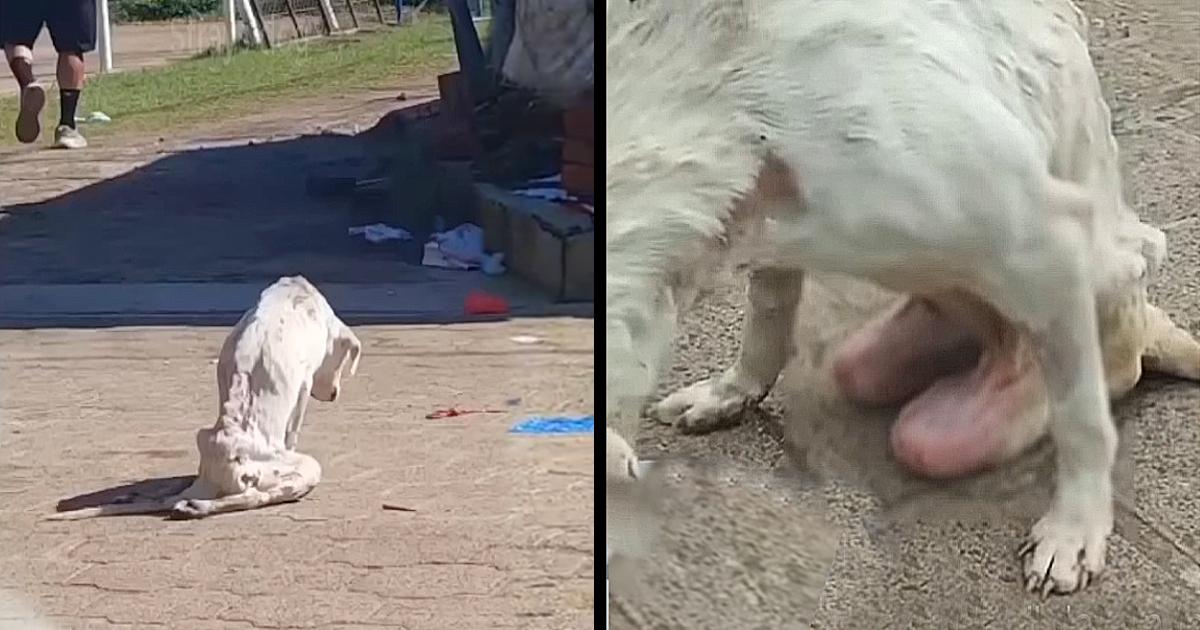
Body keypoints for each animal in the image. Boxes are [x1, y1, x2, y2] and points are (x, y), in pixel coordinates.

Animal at [609, 0, 1200, 595]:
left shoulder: (1048, 241)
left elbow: (1081, 422)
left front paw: (1074, 530)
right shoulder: (767, 228)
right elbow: (768, 315)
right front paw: (731, 392)